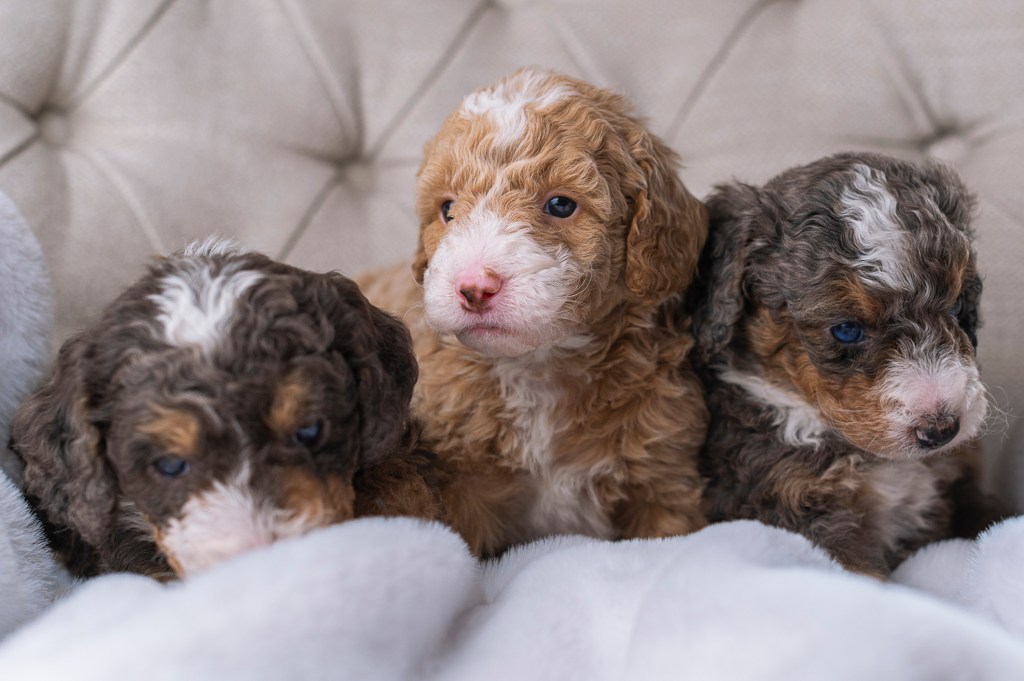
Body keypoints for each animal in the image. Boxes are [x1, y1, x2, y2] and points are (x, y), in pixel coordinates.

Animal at [362, 66, 712, 557]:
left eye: (560, 204)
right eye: (447, 209)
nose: (473, 287)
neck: (541, 364)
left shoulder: (661, 475)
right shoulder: (461, 484)